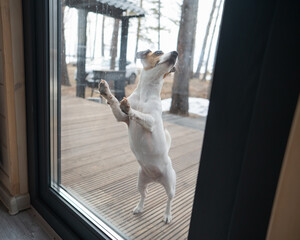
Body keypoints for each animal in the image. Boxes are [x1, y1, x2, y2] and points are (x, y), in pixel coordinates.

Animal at [98, 49, 178, 223]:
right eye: (158, 52)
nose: (175, 52)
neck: (145, 94)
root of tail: (155, 179)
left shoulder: (152, 122)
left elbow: (139, 114)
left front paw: (129, 107)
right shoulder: (121, 118)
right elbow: (115, 103)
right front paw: (106, 91)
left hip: (170, 185)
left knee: (169, 200)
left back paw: (167, 215)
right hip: (140, 182)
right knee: (144, 194)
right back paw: (139, 207)